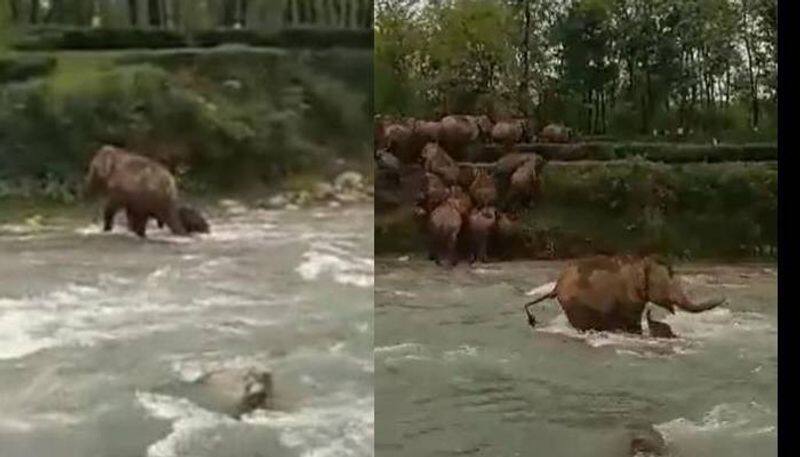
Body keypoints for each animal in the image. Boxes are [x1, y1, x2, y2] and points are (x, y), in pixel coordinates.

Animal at [520, 255, 728, 334]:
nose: (725, 296)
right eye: (668, 282)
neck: (641, 263)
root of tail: (557, 285)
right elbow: (632, 323)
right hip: (576, 304)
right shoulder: (629, 298)